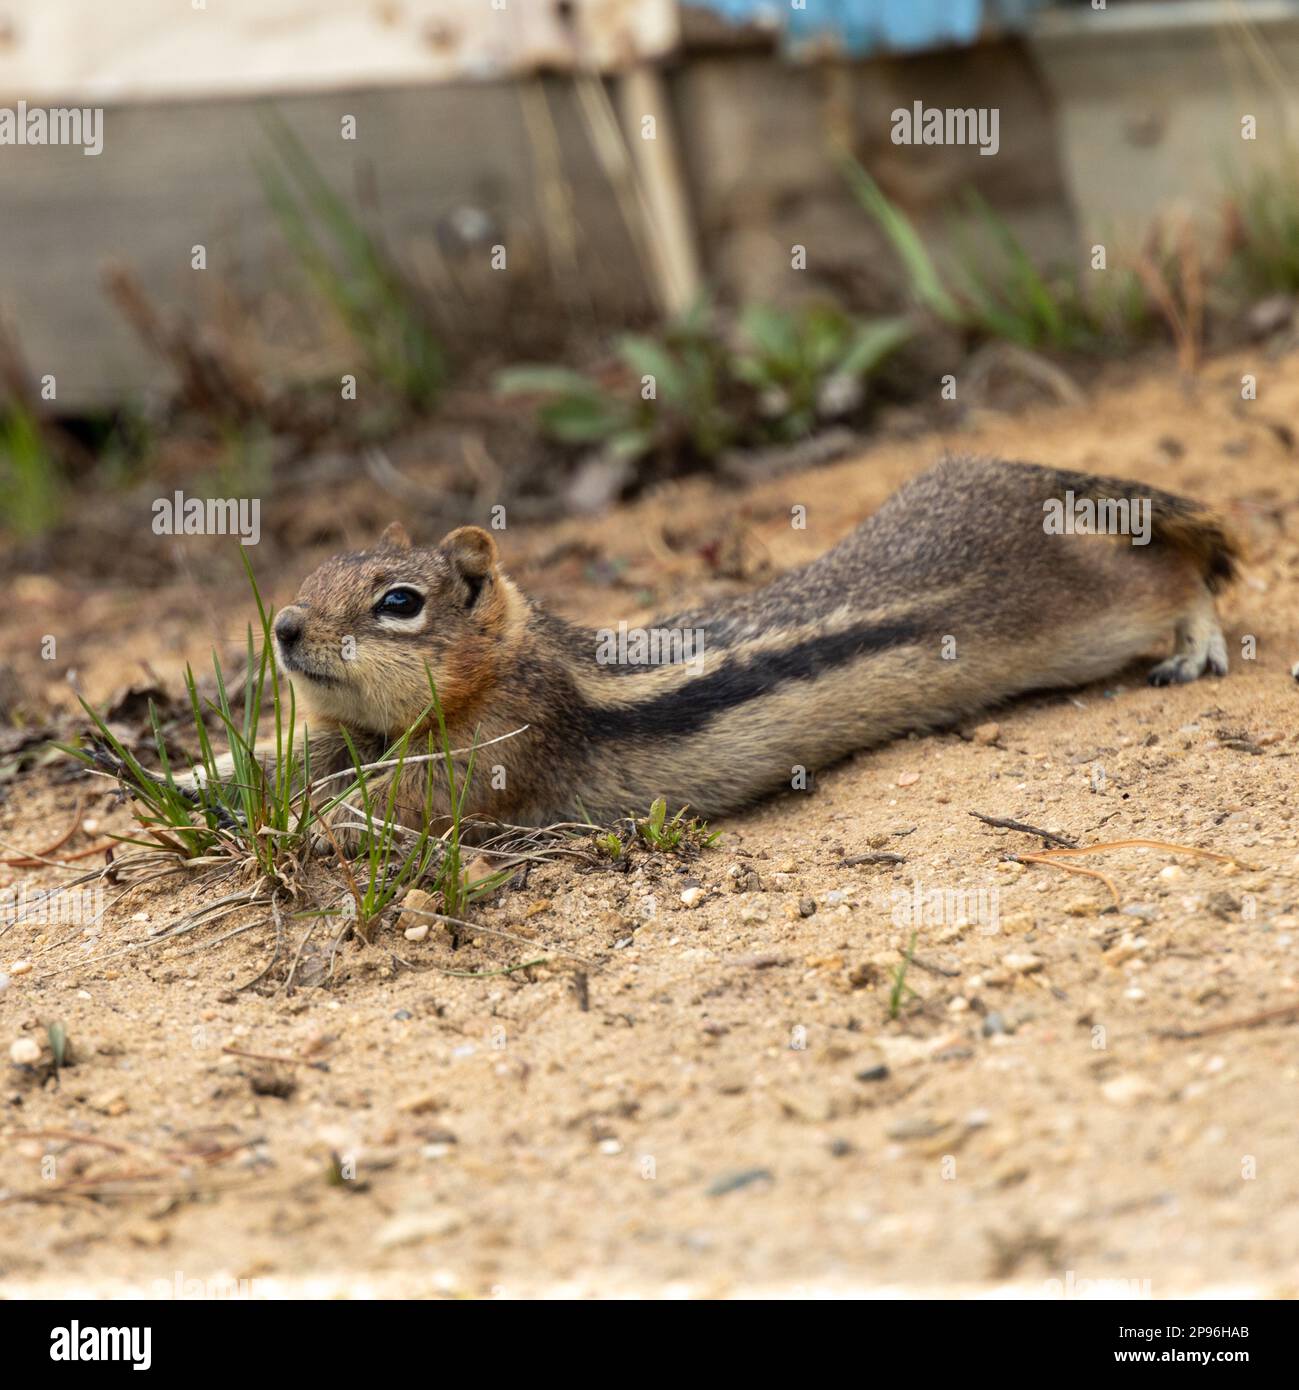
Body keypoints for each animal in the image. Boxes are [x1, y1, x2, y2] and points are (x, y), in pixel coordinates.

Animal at [273, 455, 1239, 828]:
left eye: (399, 602)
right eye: (311, 576)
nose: (281, 627)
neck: (517, 656)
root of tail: (1017, 474)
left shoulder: (503, 746)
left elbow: (417, 795)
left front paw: (314, 823)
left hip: (1081, 620)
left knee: (1163, 584)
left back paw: (1195, 640)